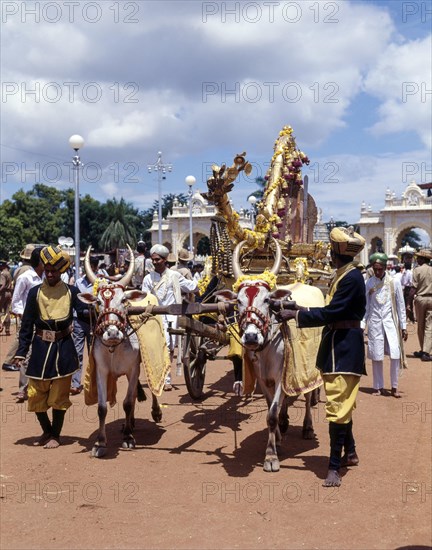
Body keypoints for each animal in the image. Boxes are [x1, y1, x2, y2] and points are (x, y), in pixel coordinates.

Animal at [79, 248, 162, 460]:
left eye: (123, 300)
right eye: (98, 301)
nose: (112, 333)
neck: (114, 348)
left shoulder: (133, 369)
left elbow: (127, 403)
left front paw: (128, 438)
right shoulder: (101, 370)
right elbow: (102, 407)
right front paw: (100, 443)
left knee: (148, 388)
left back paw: (155, 412)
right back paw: (129, 423)